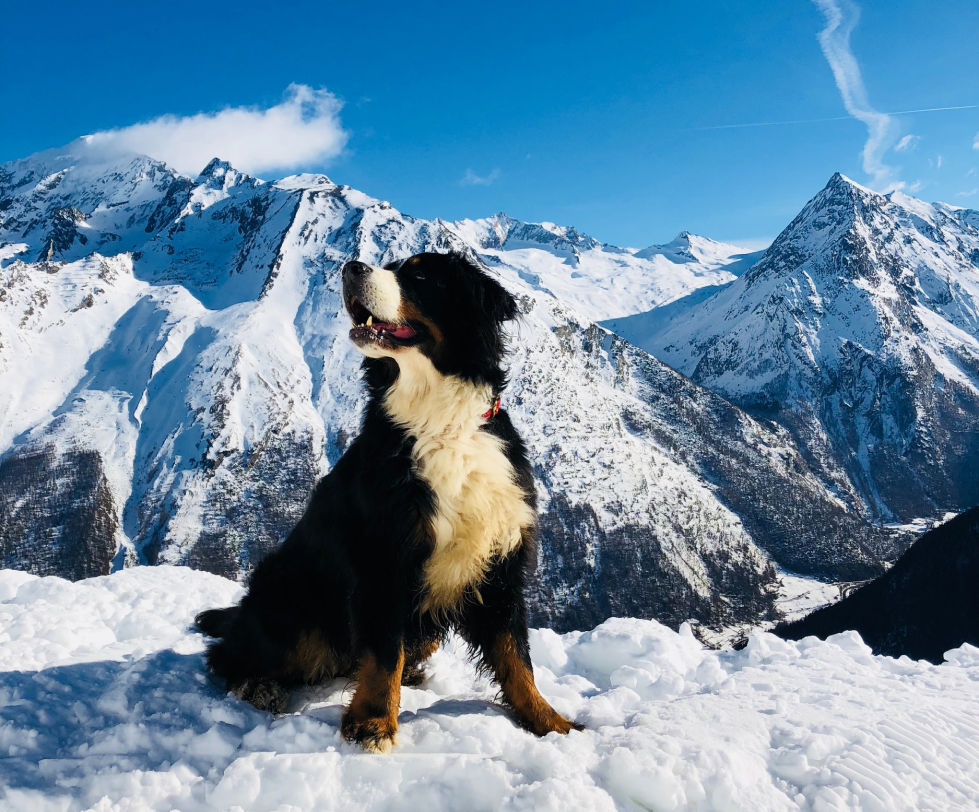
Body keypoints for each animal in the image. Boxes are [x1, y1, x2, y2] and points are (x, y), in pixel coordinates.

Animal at [197, 251, 580, 752]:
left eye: (418, 274)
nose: (351, 267)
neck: (441, 424)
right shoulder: (383, 558)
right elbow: (382, 655)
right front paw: (374, 723)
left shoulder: (500, 564)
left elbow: (517, 658)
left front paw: (551, 722)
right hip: (295, 607)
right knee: (232, 653)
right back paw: (258, 685)